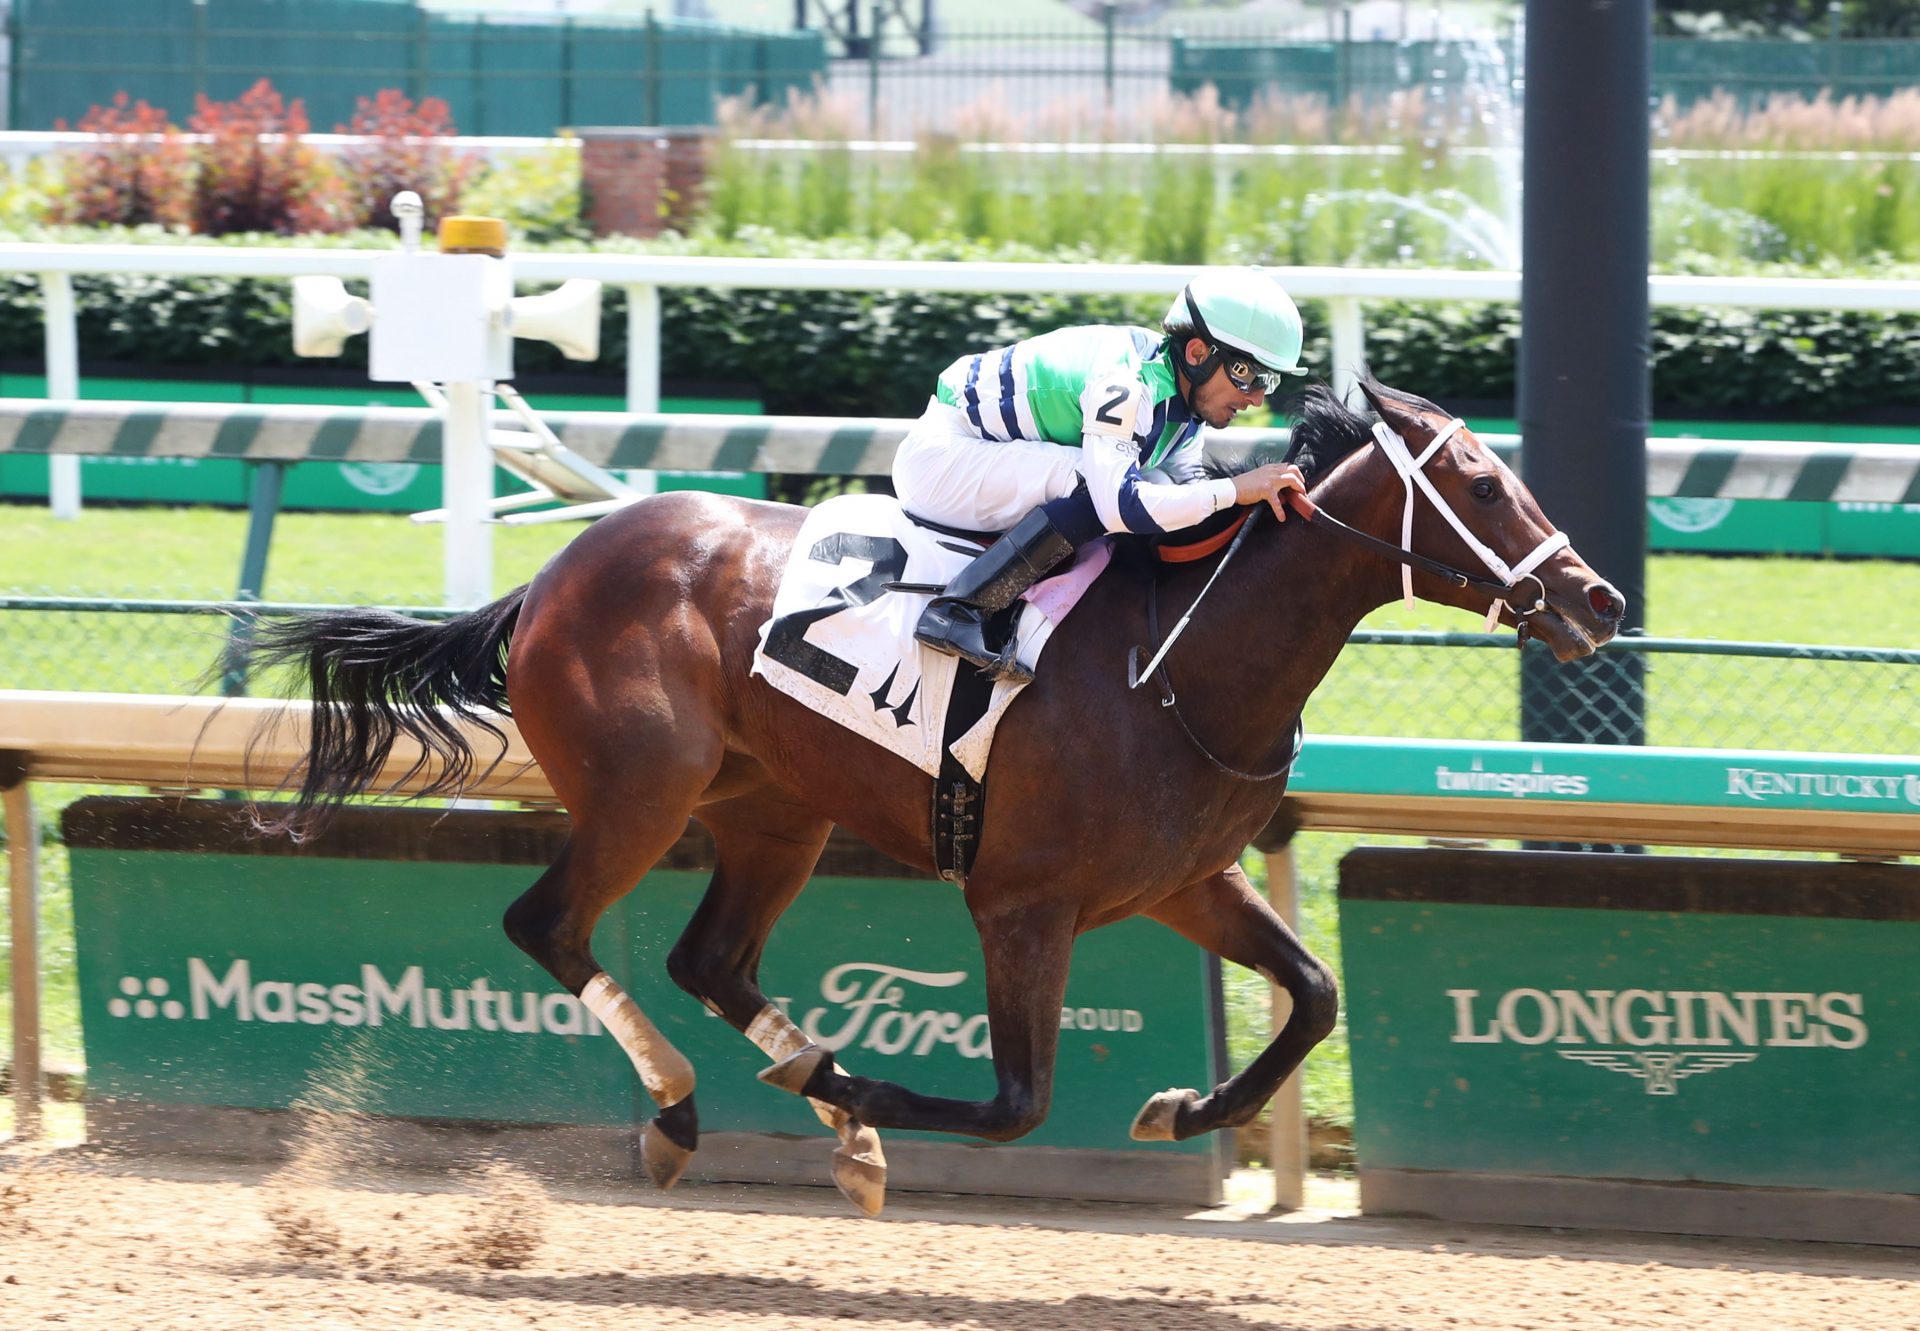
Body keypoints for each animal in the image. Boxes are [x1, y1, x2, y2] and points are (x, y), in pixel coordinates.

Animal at [255, 376, 1620, 1213]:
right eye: (1484, 484)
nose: (1600, 598)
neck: (1178, 660)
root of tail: (550, 576)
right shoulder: (1022, 901)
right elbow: (1019, 1102)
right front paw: (862, 1093)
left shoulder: (1184, 879)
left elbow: (1317, 994)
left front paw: (1185, 1106)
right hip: (643, 789)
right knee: (551, 924)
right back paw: (692, 1110)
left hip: (774, 808)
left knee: (709, 958)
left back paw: (818, 1109)